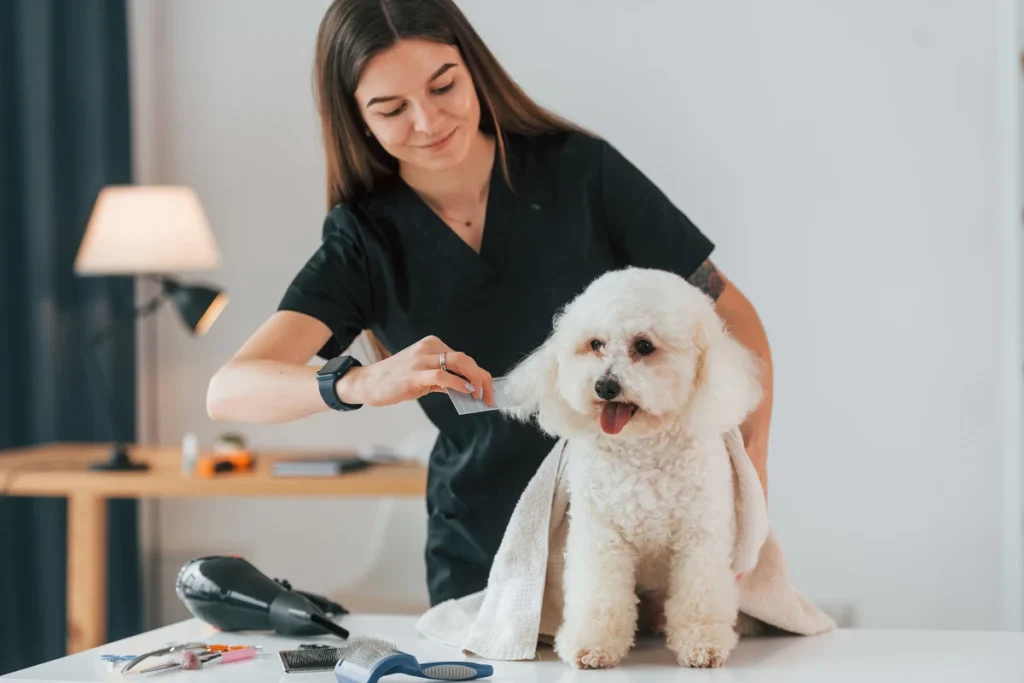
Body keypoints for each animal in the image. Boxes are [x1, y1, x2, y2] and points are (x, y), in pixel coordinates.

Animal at [499, 266, 765, 667]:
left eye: (644, 346)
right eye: (595, 344)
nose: (604, 386)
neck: (642, 452)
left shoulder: (700, 534)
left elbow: (700, 594)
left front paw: (702, 644)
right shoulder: (600, 534)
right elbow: (600, 594)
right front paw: (592, 646)